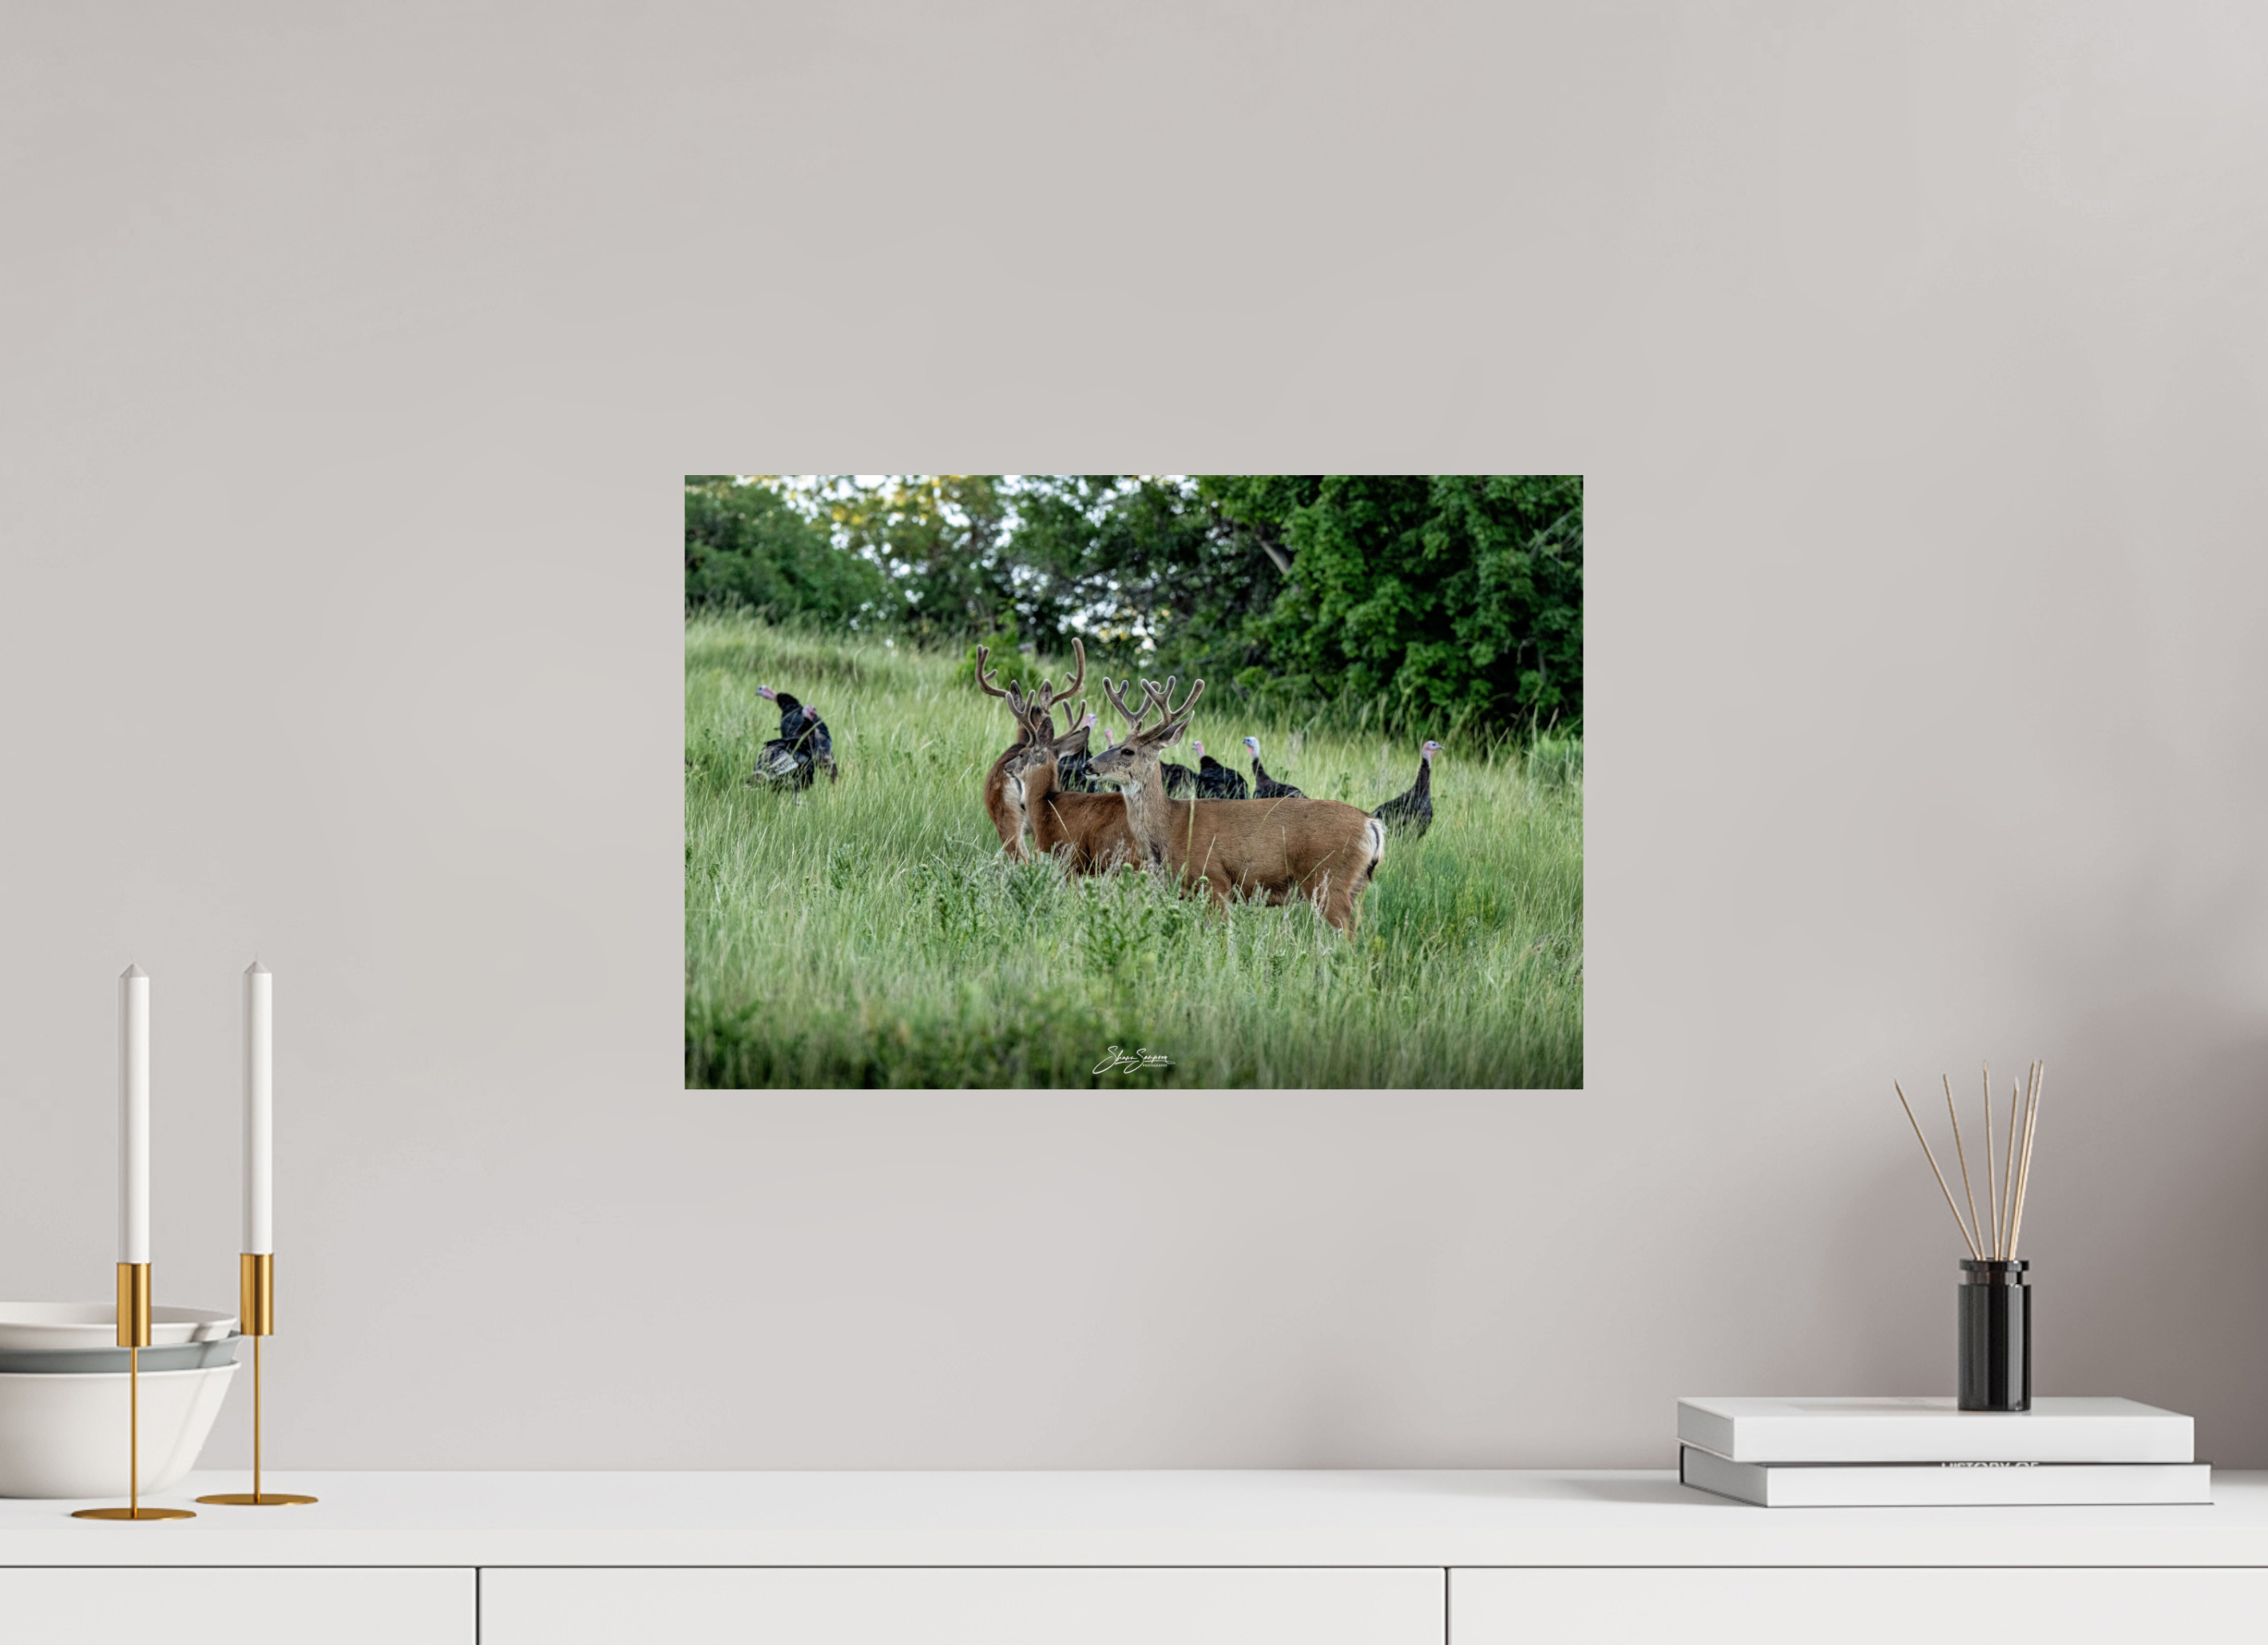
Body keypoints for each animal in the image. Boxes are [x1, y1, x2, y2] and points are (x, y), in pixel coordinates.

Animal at [1085, 675, 1387, 933]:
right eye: (1116, 743)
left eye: (1128, 751)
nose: (1087, 765)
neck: (1173, 826)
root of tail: (1371, 824)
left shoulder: (1214, 880)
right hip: (1355, 885)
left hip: (1329, 879)